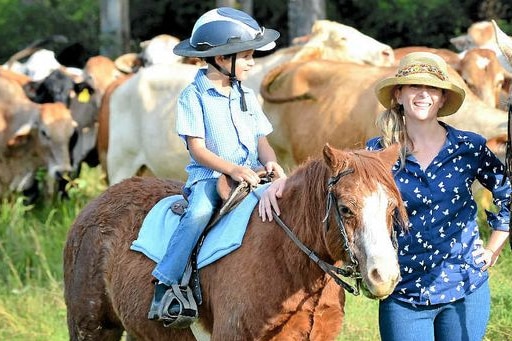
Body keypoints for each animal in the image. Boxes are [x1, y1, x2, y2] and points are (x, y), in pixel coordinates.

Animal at [63, 144, 408, 340]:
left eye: (392, 209)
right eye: (346, 209)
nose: (384, 276)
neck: (287, 261)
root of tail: (91, 210)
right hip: (91, 327)